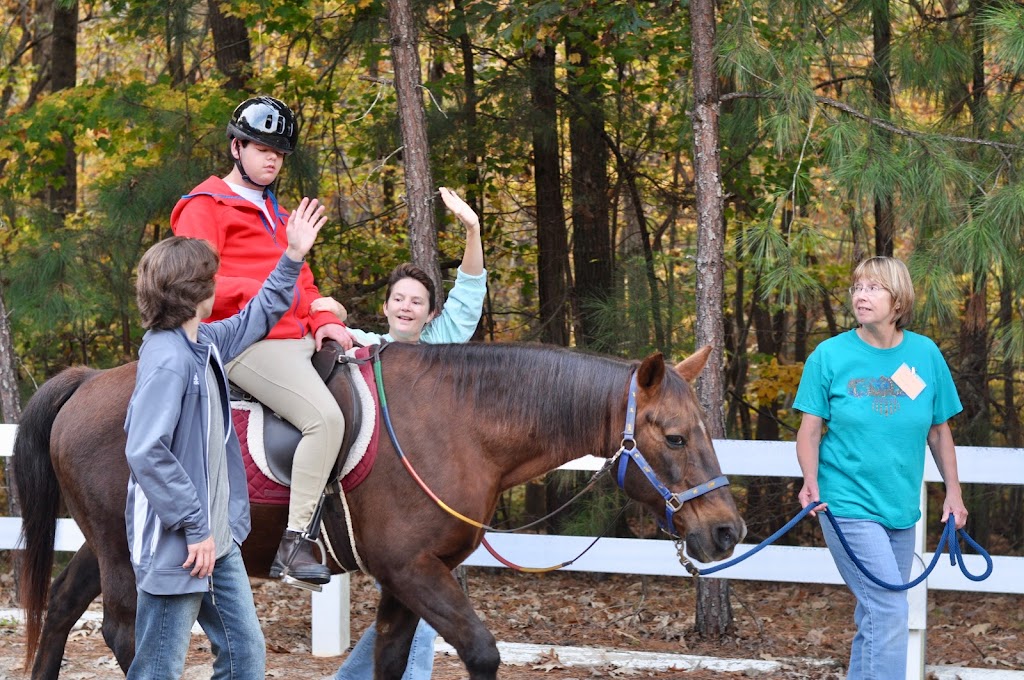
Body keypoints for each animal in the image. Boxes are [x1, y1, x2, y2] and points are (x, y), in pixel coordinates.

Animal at [14, 346, 745, 680]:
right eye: (674, 438)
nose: (727, 530)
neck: (462, 424)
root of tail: (88, 381)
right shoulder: (415, 571)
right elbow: (481, 652)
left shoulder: (405, 579)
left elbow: (390, 661)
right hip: (127, 549)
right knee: (123, 631)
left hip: (103, 542)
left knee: (61, 606)